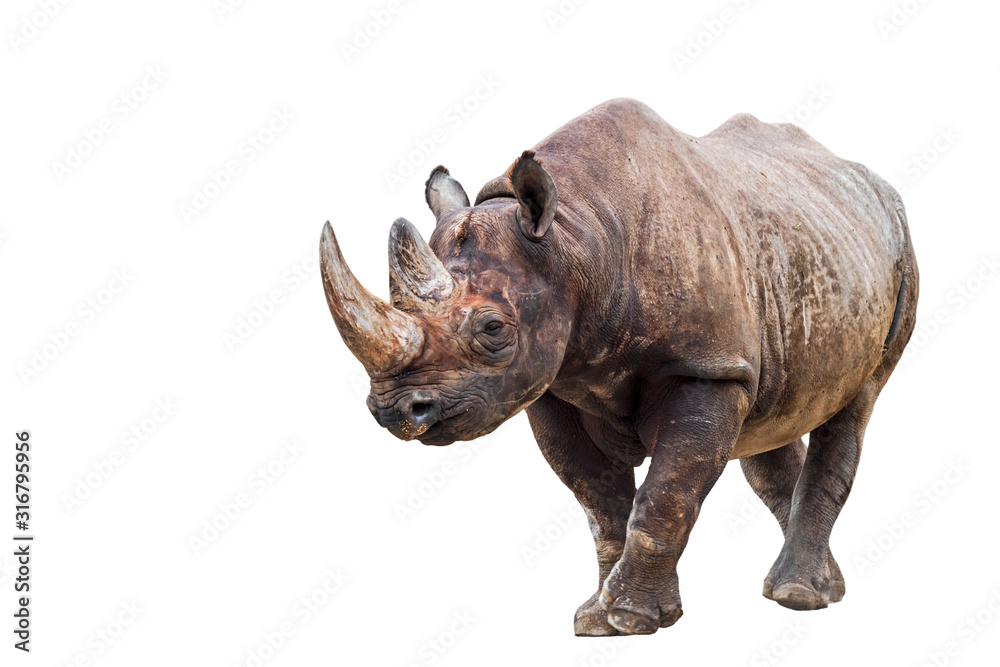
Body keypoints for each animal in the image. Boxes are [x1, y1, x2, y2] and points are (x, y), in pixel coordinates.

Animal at [319, 98, 918, 636]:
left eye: (492, 330)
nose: (396, 411)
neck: (576, 240)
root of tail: (874, 185)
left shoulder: (704, 367)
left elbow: (665, 495)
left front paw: (632, 619)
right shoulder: (552, 385)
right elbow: (600, 501)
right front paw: (598, 621)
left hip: (901, 256)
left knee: (856, 402)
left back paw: (798, 596)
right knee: (771, 421)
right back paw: (818, 587)